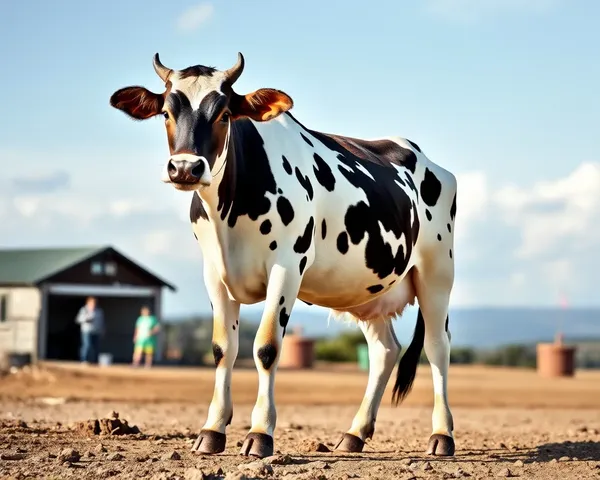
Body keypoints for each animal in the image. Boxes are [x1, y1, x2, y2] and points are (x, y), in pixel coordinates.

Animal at [110, 51, 458, 458]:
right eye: (166, 112)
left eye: (224, 114)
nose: (185, 168)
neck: (229, 215)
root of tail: (420, 155)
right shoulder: (214, 274)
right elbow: (222, 349)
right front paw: (212, 430)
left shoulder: (287, 266)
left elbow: (266, 348)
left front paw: (260, 433)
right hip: (367, 290)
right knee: (385, 351)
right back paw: (354, 434)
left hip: (437, 273)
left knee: (437, 347)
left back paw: (442, 435)